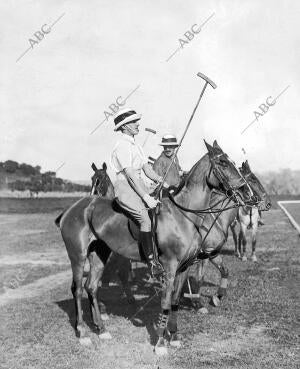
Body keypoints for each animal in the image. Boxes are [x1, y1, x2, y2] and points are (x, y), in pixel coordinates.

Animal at [54, 140, 253, 354]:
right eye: (223, 162)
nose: (246, 192)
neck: (184, 215)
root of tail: (71, 209)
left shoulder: (184, 267)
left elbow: (175, 301)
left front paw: (174, 336)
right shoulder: (170, 267)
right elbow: (165, 302)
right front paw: (160, 343)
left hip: (99, 253)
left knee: (91, 286)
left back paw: (102, 329)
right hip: (78, 255)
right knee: (77, 289)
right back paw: (83, 333)